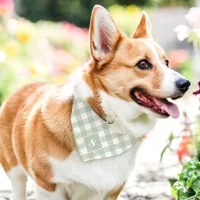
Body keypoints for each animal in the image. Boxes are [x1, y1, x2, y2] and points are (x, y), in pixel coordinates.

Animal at [0, 4, 191, 200]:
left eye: (166, 62)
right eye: (143, 64)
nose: (186, 84)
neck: (106, 122)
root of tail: (26, 86)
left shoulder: (112, 190)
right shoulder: (49, 186)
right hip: (14, 171)